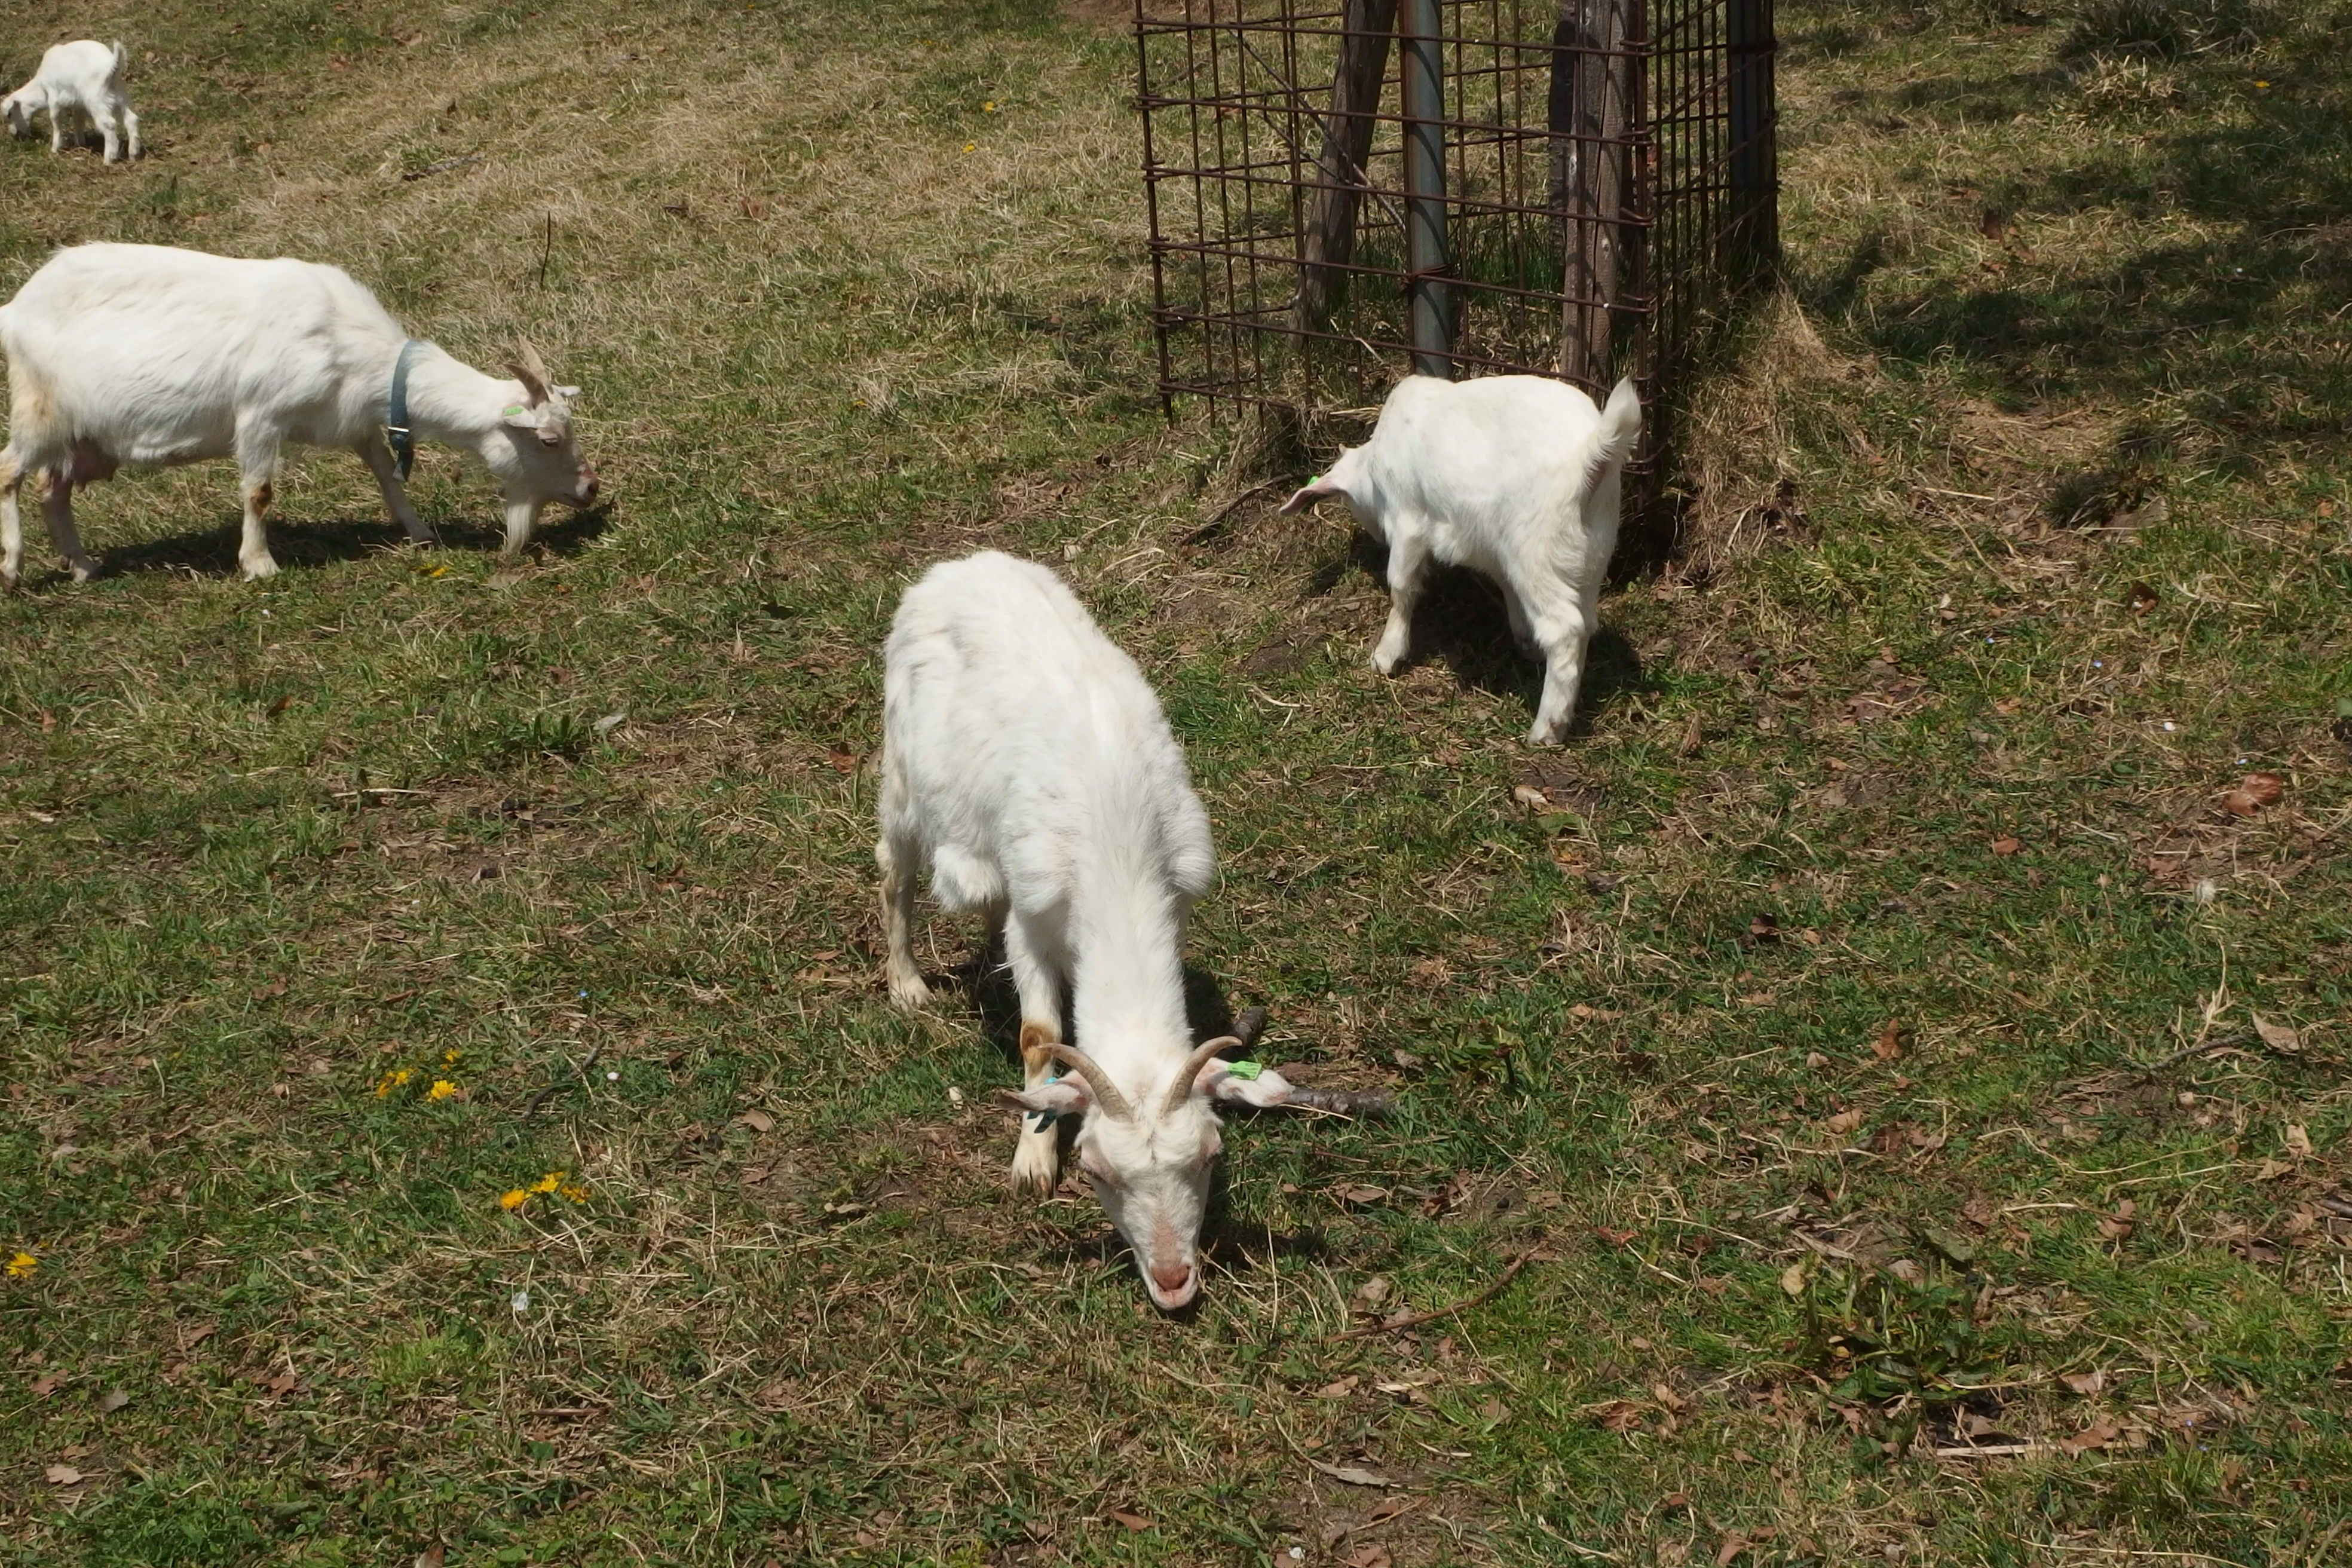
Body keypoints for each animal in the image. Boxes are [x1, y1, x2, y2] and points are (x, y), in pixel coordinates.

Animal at [0, 242, 597, 592]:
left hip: (85, 439)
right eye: (548, 439)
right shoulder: (261, 416)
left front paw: (420, 532)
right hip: (39, 409)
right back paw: (12, 569)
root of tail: (16, 307)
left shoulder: (352, 419)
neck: (350, 343)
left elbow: (386, 475)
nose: (591, 488)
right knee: (10, 471)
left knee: (52, 490)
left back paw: (82, 566)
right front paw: (259, 563)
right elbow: (259, 492)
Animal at [2, 42, 140, 163]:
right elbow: (78, 120)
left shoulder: (54, 97)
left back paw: (109, 159)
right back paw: (133, 155)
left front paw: (55, 148)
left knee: (109, 124)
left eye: (10, 114)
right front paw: (80, 143)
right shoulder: (79, 104)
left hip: (97, 101)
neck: (41, 88)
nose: (14, 134)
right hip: (120, 98)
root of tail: (112, 65)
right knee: (131, 120)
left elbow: (55, 120)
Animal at [884, 552, 1326, 1316]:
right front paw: (1032, 1159)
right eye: (1094, 1169)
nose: (1175, 1282)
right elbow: (1037, 1033)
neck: (1115, 836)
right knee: (896, 870)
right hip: (902, 772)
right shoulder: (1035, 913)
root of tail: (961, 565)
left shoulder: (1174, 896)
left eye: (1210, 1153)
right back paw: (907, 982)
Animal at [1279, 378, 1646, 748]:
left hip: (1536, 552)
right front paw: (1525, 639)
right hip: (1590, 553)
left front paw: (1386, 654)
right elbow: (1507, 589)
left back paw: (1547, 729)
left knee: (1565, 630)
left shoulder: (1407, 520)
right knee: (1584, 624)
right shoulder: (1493, 548)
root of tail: (1593, 452)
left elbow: (1401, 587)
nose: (1377, 537)